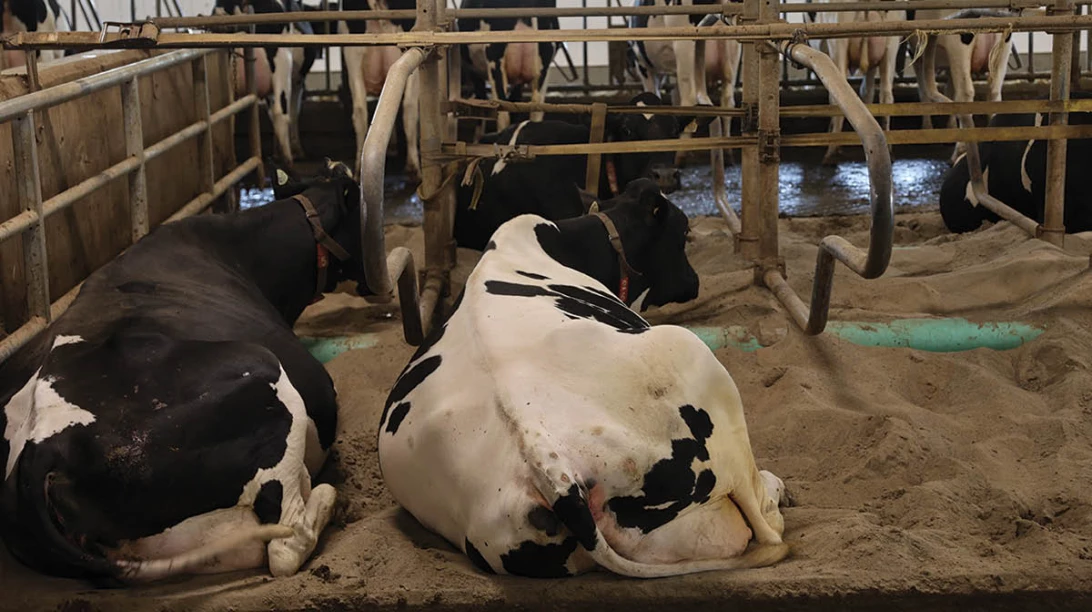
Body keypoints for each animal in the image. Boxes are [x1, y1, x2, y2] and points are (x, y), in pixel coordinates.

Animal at [217, 0, 316, 165]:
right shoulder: (297, 82)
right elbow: (294, 112)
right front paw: (296, 150)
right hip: (282, 63)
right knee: (280, 113)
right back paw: (288, 161)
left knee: (228, 116)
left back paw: (232, 163)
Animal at [378, 178, 789, 578]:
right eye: (684, 230)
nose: (695, 280)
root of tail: (548, 460)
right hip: (692, 356)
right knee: (763, 520)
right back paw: (777, 488)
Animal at [805, 1, 906, 164]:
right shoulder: (872, 66)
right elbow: (867, 92)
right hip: (891, 47)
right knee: (886, 95)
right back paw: (890, 150)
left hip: (838, 44)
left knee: (837, 96)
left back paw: (831, 151)